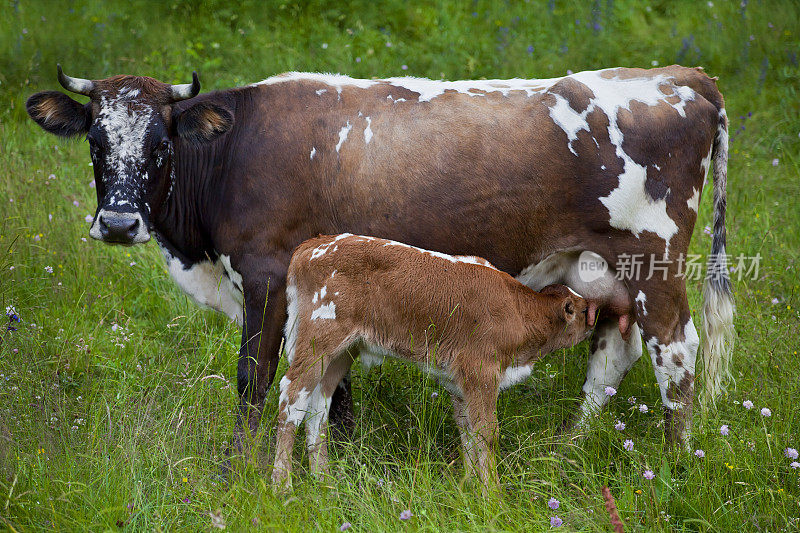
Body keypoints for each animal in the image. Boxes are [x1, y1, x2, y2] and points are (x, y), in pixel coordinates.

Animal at [28, 63, 736, 458]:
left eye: (160, 142)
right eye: (95, 142)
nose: (119, 223)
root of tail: (679, 75)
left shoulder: (266, 276)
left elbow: (256, 378)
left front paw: (238, 470)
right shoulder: (326, 292)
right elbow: (331, 381)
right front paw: (337, 461)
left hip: (653, 263)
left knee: (676, 354)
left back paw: (674, 464)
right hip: (600, 269)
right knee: (613, 354)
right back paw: (567, 448)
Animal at [272, 234, 592, 486]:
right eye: (584, 310)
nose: (596, 314)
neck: (518, 311)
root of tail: (314, 244)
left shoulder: (460, 383)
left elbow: (467, 431)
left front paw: (469, 487)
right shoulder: (482, 372)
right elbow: (487, 433)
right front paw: (493, 496)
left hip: (341, 352)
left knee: (317, 406)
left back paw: (323, 480)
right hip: (318, 340)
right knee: (292, 397)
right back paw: (282, 486)